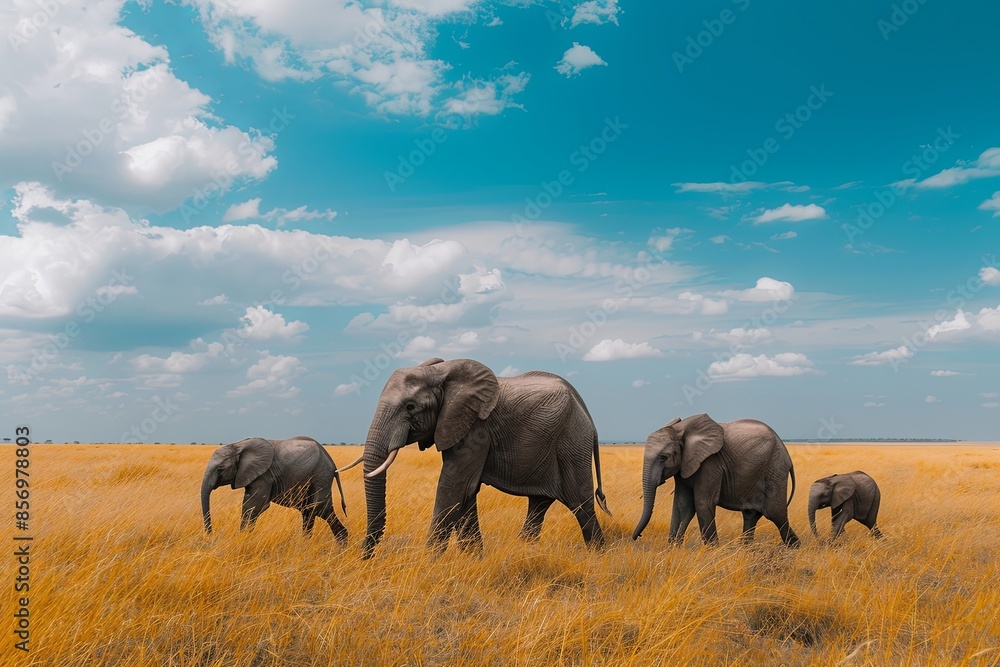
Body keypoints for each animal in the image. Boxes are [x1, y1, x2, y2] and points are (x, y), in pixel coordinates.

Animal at [201, 435, 348, 542]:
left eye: (220, 469)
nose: (210, 535)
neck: (239, 445)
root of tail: (333, 465)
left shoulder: (264, 475)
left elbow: (253, 506)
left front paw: (243, 538)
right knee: (311, 512)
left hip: (321, 477)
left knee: (318, 509)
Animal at [342, 357, 610, 558]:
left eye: (410, 407)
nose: (364, 556)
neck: (440, 373)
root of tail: (588, 414)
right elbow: (467, 493)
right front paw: (474, 559)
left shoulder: (476, 430)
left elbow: (453, 487)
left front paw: (428, 563)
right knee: (539, 504)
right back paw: (526, 549)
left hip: (571, 443)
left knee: (580, 504)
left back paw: (598, 556)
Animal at [632, 414, 800, 547]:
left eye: (663, 457)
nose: (637, 536)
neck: (681, 429)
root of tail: (785, 451)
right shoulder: (683, 468)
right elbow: (682, 505)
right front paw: (673, 548)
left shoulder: (711, 463)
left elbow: (702, 503)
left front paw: (711, 552)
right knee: (751, 515)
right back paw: (745, 550)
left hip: (775, 470)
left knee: (776, 514)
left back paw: (794, 548)